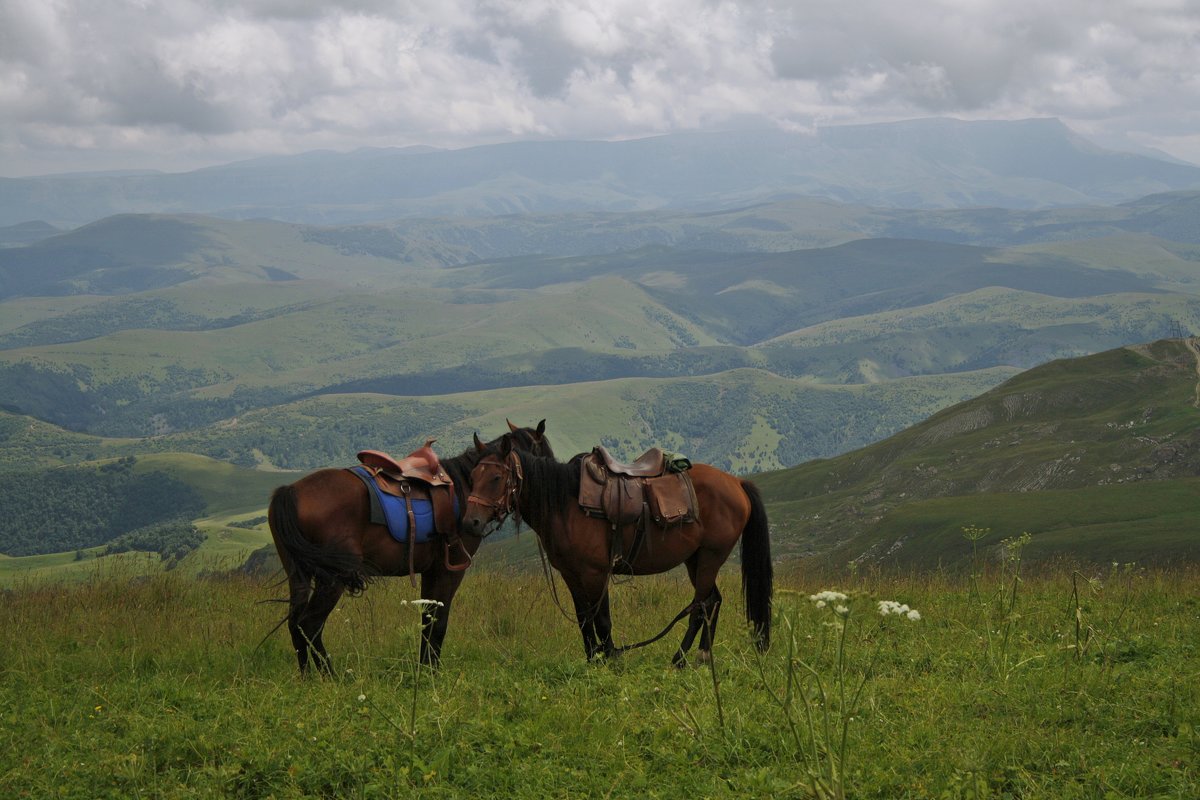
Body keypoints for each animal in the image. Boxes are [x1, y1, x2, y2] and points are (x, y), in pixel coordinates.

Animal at [268, 422, 552, 671]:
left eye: (494, 477)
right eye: (483, 477)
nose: (471, 522)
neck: (462, 490)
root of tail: (290, 491)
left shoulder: (431, 571)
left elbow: (427, 621)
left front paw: (424, 668)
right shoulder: (449, 571)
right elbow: (438, 624)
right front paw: (433, 672)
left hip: (299, 574)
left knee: (295, 623)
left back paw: (307, 676)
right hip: (331, 578)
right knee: (310, 624)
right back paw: (330, 676)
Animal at [458, 434, 768, 666]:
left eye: (496, 478)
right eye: (472, 476)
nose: (471, 522)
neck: (566, 503)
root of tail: (736, 482)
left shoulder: (596, 573)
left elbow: (602, 619)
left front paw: (610, 660)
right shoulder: (571, 574)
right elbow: (584, 619)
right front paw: (591, 660)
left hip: (710, 558)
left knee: (700, 605)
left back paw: (680, 659)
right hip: (696, 559)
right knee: (712, 600)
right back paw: (703, 656)